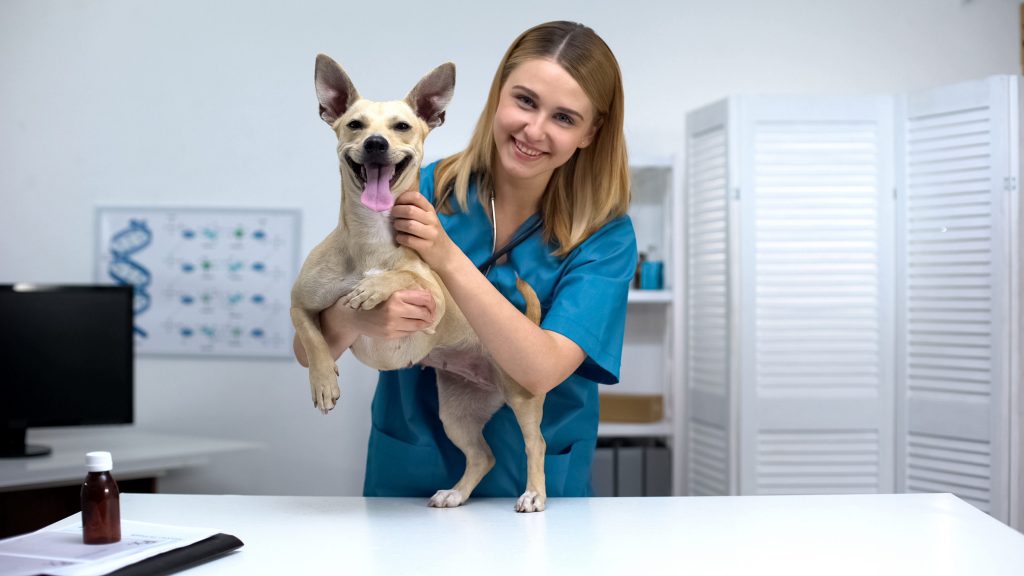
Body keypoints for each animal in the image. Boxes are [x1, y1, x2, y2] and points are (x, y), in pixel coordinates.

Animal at [292, 54, 552, 510]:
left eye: (401, 126)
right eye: (355, 124)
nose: (376, 143)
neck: (370, 239)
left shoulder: (434, 296)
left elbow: (403, 276)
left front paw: (373, 287)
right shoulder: (299, 304)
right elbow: (313, 339)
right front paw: (323, 383)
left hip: (521, 394)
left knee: (535, 444)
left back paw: (534, 494)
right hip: (456, 413)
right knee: (483, 456)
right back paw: (456, 493)